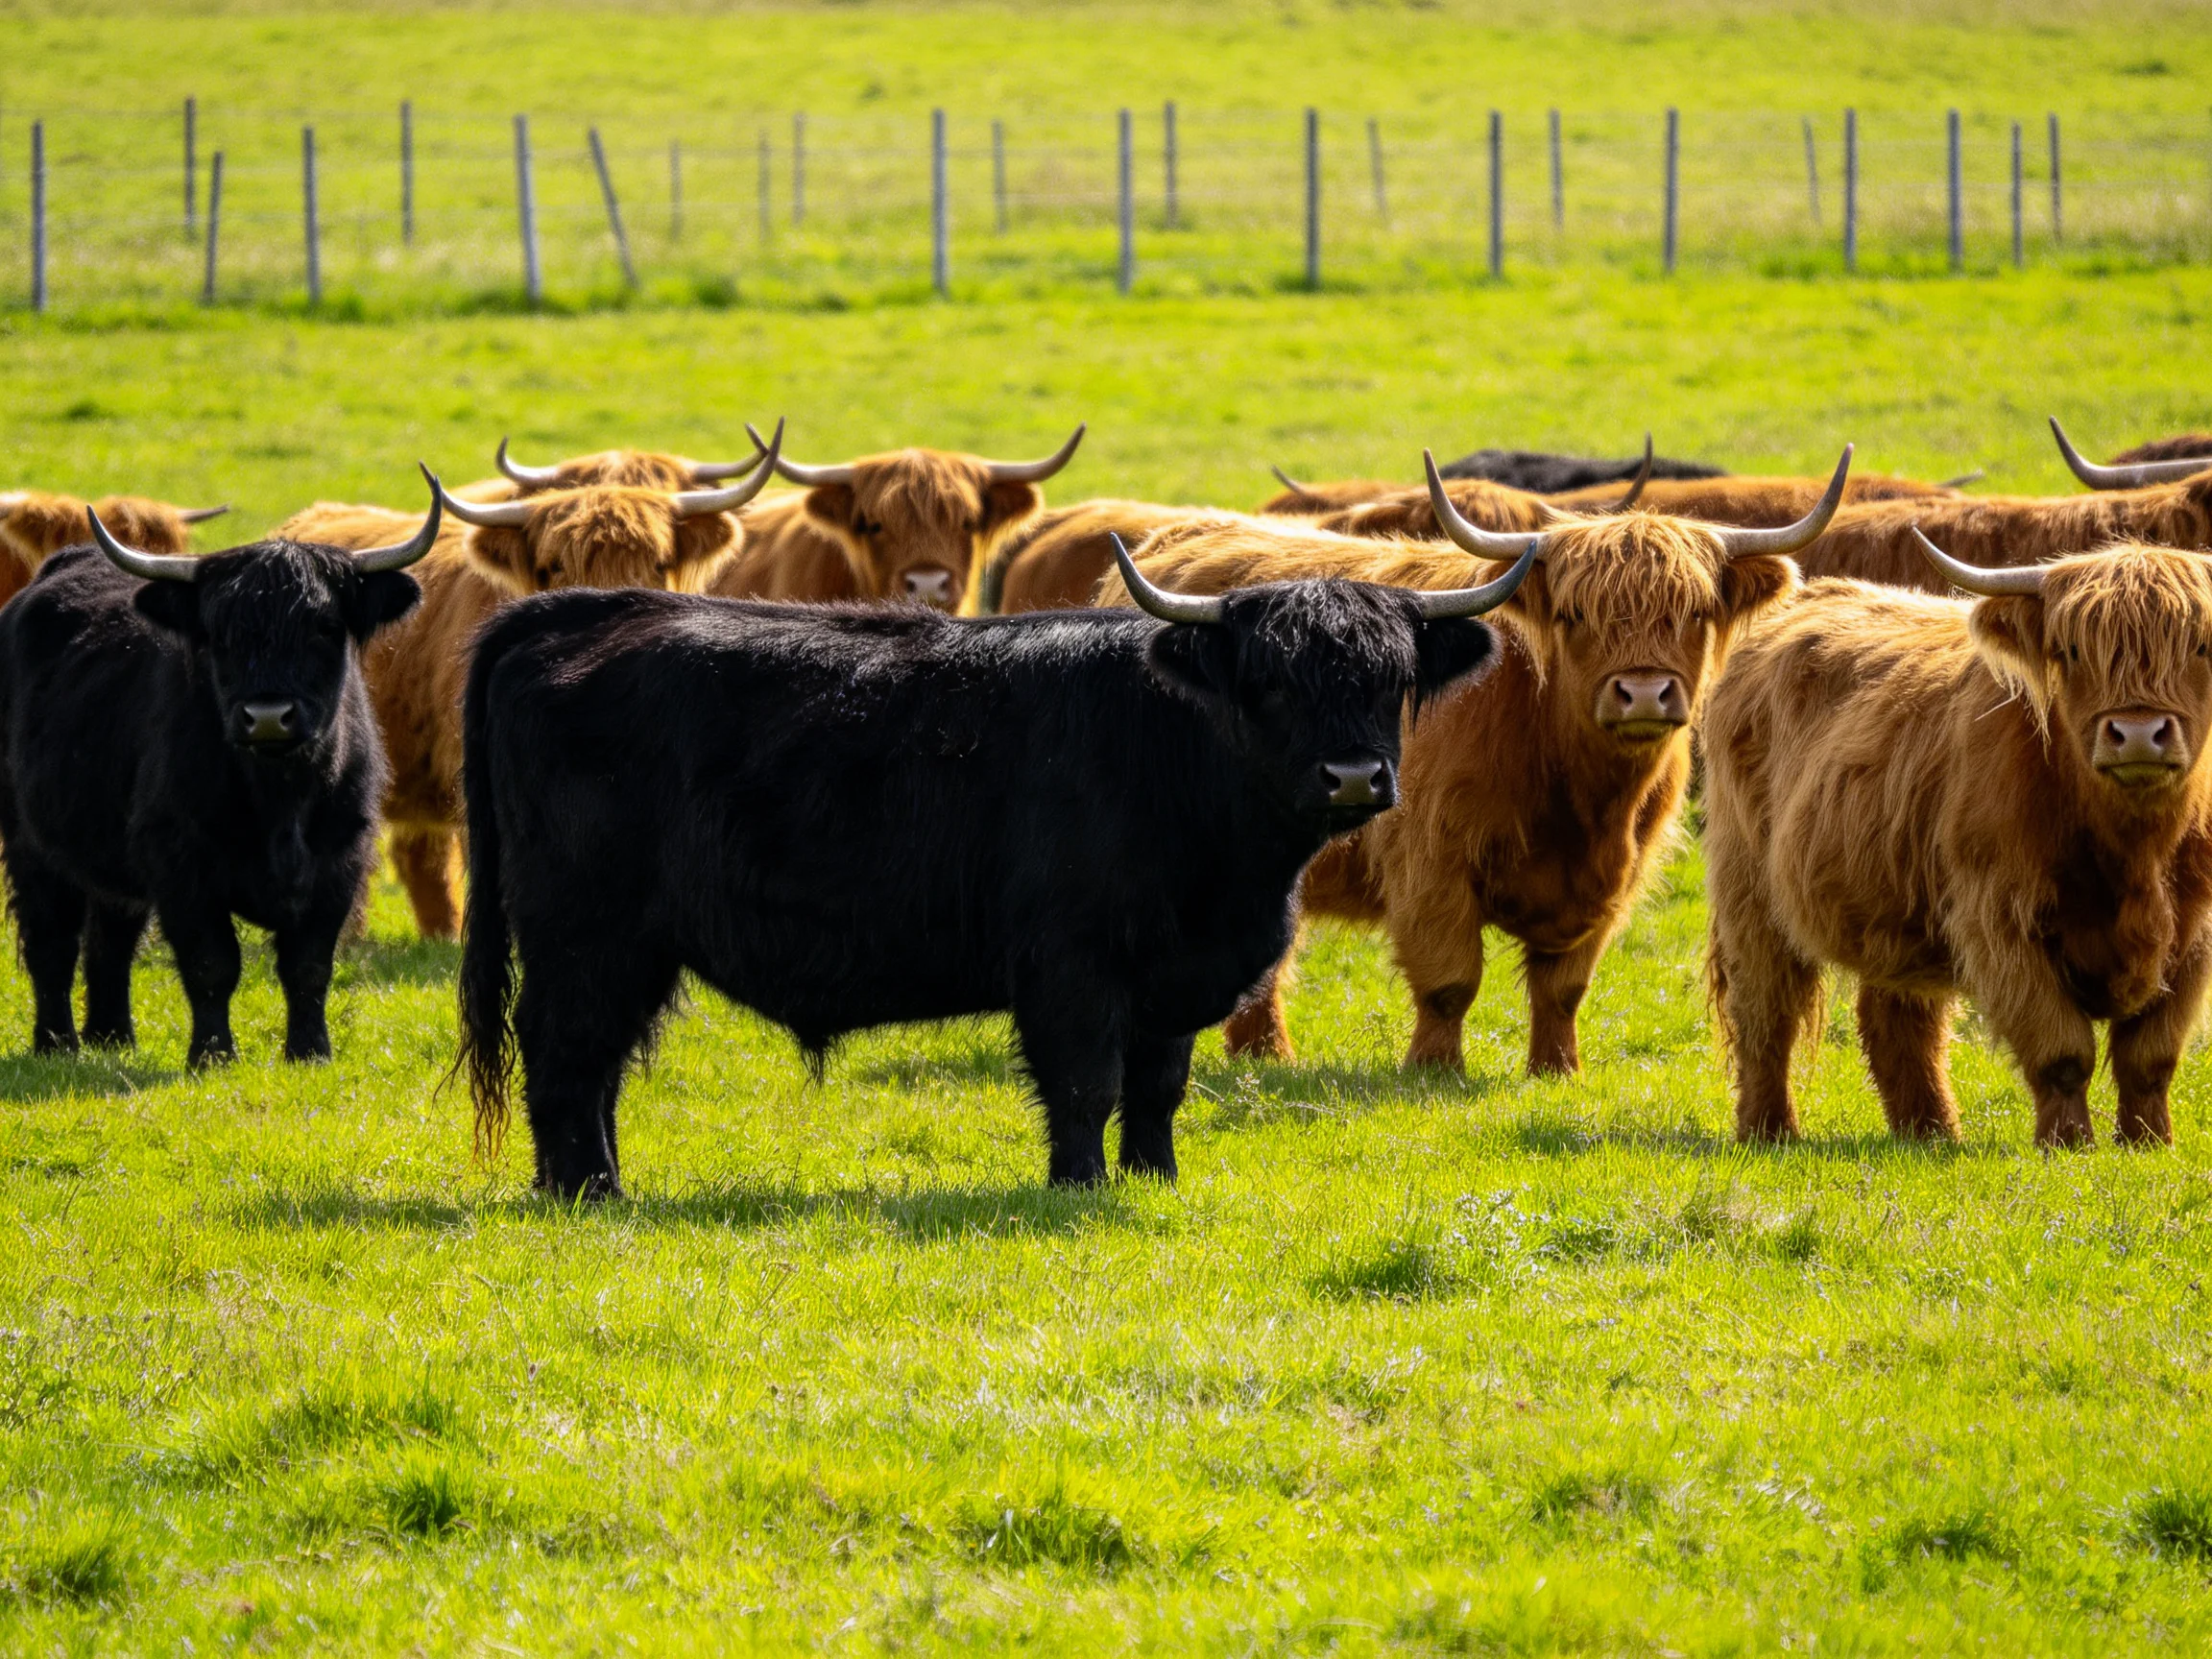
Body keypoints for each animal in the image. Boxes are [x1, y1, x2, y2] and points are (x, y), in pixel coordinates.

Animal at [455, 537, 1532, 1198]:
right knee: (564, 1050)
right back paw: (589, 1192)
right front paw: (1079, 1186)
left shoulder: (1176, 973)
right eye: (1268, 681)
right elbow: (1086, 1082)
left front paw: (1155, 1180)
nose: (1353, 776)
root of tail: (578, 613)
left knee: (593, 1063)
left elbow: (1158, 1086)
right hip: (587, 933)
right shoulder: (1071, 964)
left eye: (1390, 677)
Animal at [1094, 449, 1851, 1074]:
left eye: (1693, 611)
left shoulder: (1614, 880)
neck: (1576, 793)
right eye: (1575, 614)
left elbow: (1563, 987)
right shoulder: (1430, 860)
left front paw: (1556, 1070)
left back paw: (1265, 1055)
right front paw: (1434, 1070)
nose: (1642, 692)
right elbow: (1450, 978)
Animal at [1704, 533, 2212, 1148]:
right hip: (1749, 890)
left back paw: (1930, 1133)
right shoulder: (1998, 919)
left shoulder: (2194, 934)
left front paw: (2148, 1143)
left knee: (1897, 1019)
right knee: (1765, 1012)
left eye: (2202, 645)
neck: (2135, 854)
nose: (2138, 733)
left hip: (1892, 908)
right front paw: (2068, 1144)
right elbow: (2062, 1049)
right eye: (2070, 650)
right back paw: (1769, 1131)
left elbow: (2151, 1056)